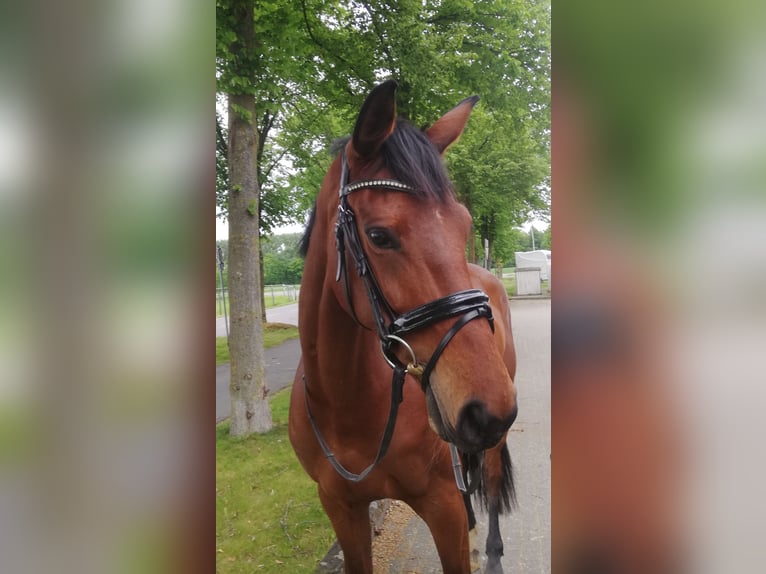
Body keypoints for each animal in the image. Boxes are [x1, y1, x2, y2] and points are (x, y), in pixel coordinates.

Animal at [288, 80, 518, 574]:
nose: (487, 407)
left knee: (489, 481)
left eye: (465, 225)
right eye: (379, 236)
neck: (348, 405)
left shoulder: (441, 507)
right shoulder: (341, 509)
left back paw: (491, 550)